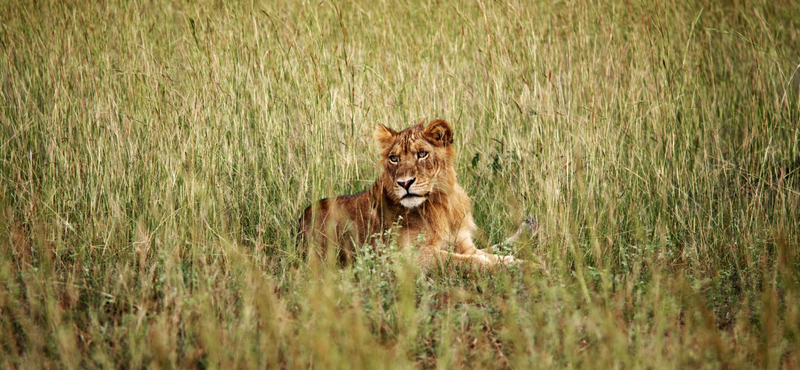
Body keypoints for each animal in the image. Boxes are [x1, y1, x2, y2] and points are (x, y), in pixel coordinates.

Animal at [296, 120, 536, 270]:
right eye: (394, 159)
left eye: (422, 154)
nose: (405, 183)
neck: (441, 203)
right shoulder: (410, 258)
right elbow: (468, 261)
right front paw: (520, 266)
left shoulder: (463, 243)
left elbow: (487, 255)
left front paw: (519, 263)